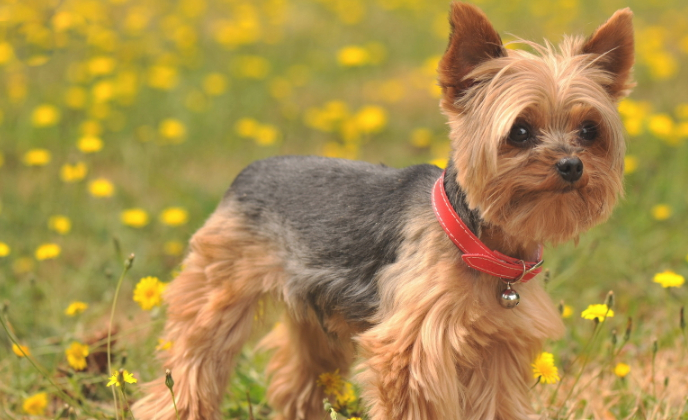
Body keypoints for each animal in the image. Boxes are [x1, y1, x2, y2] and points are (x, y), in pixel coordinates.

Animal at [133, 4, 636, 420]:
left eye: (589, 130)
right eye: (521, 131)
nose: (571, 165)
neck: (478, 240)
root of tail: (251, 169)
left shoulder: (501, 349)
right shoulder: (413, 351)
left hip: (318, 317)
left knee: (300, 378)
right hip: (217, 288)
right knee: (194, 360)